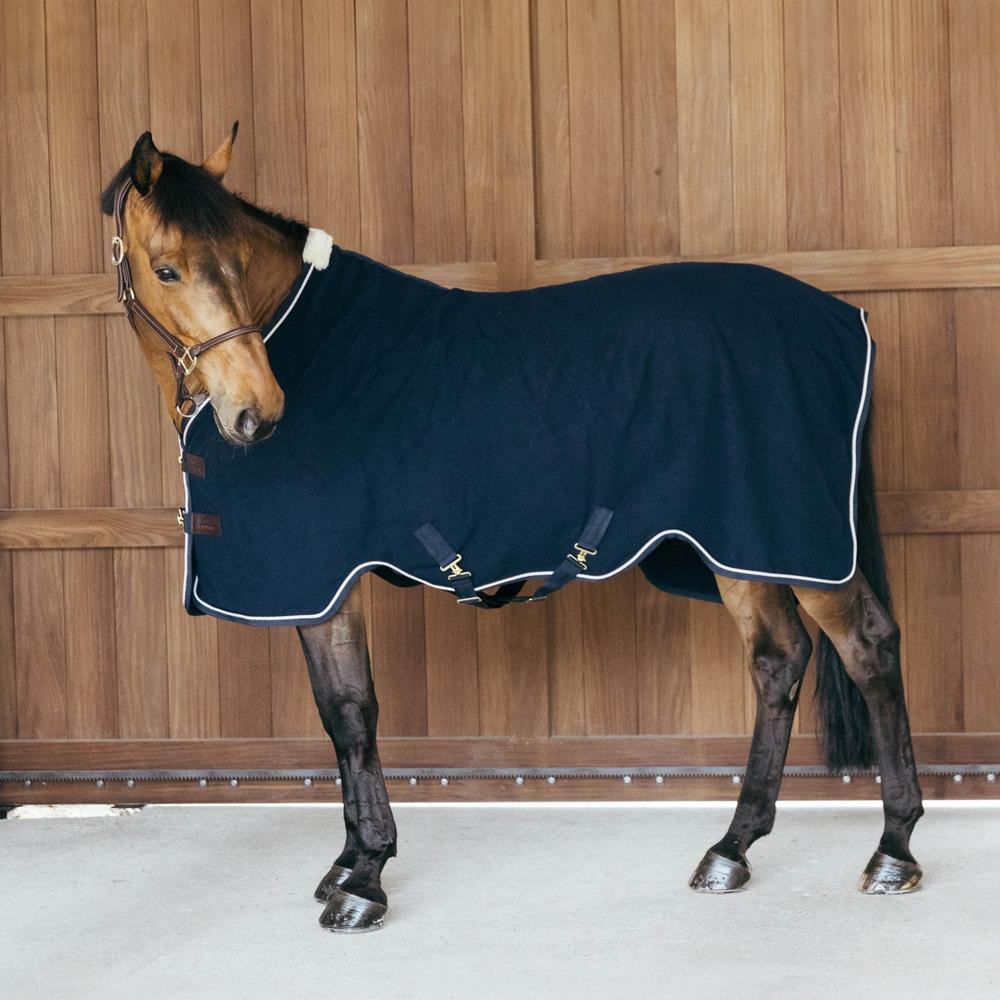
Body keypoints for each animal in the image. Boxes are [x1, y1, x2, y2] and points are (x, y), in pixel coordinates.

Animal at [100, 125, 923, 933]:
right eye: (167, 270)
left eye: (237, 263)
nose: (258, 412)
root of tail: (844, 320)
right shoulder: (321, 589)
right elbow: (337, 716)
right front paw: (347, 862)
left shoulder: (328, 579)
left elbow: (353, 713)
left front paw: (364, 879)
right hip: (741, 548)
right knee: (779, 661)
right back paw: (732, 849)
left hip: (798, 542)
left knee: (869, 647)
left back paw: (893, 850)